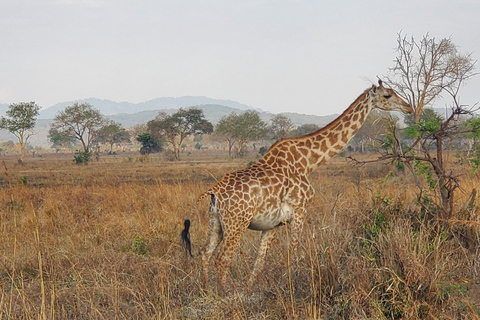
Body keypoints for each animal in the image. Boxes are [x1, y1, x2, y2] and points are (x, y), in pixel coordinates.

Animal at [180, 79, 412, 290]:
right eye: (388, 95)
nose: (408, 106)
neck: (308, 161)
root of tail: (214, 191)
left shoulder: (272, 224)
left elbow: (259, 264)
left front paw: (250, 290)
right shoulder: (300, 211)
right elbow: (294, 254)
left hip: (216, 223)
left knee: (205, 254)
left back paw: (208, 292)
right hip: (237, 223)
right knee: (223, 259)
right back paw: (226, 296)